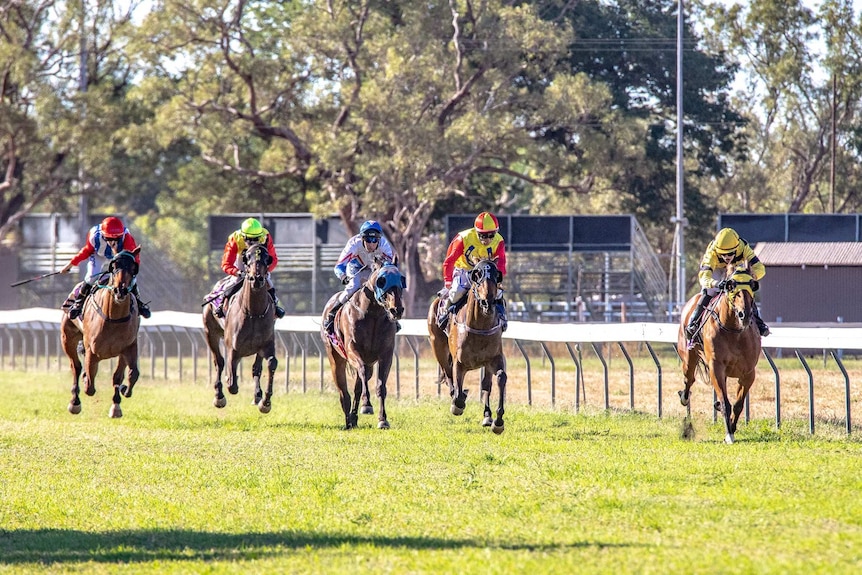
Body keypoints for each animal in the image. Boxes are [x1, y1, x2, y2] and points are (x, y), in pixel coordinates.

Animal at [60, 248, 143, 418]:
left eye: (133, 268)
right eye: (114, 267)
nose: (120, 290)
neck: (113, 318)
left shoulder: (129, 347)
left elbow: (130, 374)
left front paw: (120, 397)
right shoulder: (92, 350)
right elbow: (90, 386)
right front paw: (85, 382)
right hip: (67, 338)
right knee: (76, 366)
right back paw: (75, 402)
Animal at [202, 243, 276, 414]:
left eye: (266, 258)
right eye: (247, 258)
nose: (257, 278)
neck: (254, 313)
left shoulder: (266, 345)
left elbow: (270, 363)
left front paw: (265, 401)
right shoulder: (233, 348)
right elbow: (232, 384)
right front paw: (227, 384)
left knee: (256, 367)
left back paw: (257, 395)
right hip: (210, 332)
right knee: (219, 361)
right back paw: (219, 396)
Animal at [322, 260, 406, 428]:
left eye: (401, 281)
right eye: (382, 281)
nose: (397, 310)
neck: (373, 314)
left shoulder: (385, 355)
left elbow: (380, 386)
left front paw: (383, 419)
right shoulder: (352, 350)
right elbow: (360, 371)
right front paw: (367, 405)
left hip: (370, 364)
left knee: (358, 387)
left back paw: (353, 418)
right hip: (335, 358)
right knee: (344, 392)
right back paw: (348, 421)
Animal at [430, 258, 510, 434]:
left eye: (497, 274)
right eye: (477, 274)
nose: (488, 301)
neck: (479, 327)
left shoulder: (494, 358)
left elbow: (500, 378)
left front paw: (498, 421)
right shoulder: (459, 363)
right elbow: (458, 394)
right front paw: (457, 404)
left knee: (486, 384)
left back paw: (487, 416)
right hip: (438, 347)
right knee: (448, 375)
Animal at [680, 266, 760, 446]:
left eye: (752, 286)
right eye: (731, 287)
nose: (744, 314)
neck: (734, 331)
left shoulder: (748, 373)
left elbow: (738, 404)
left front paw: (732, 427)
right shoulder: (716, 368)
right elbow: (725, 403)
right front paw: (729, 433)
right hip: (688, 356)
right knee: (689, 379)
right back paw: (684, 399)